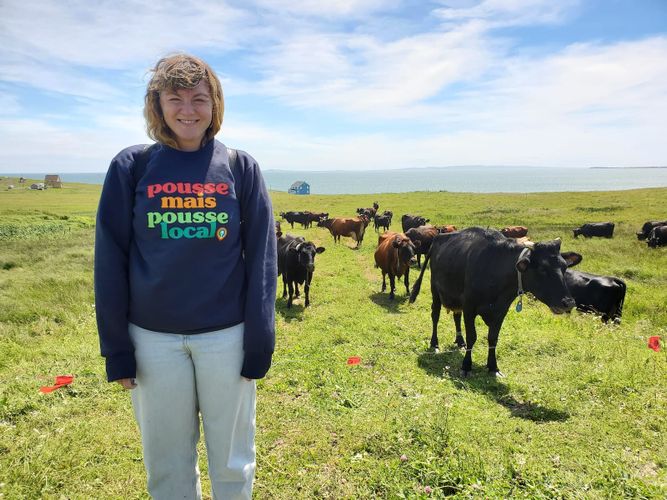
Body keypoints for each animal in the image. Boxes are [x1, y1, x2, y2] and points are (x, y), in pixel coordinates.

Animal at [410, 229, 580, 376]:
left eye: (565, 267)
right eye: (543, 269)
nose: (569, 302)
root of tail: (439, 237)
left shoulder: (501, 310)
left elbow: (493, 338)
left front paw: (493, 367)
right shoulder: (469, 307)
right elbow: (472, 336)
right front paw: (466, 366)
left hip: (456, 298)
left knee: (456, 316)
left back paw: (460, 341)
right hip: (435, 291)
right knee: (435, 315)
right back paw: (434, 343)